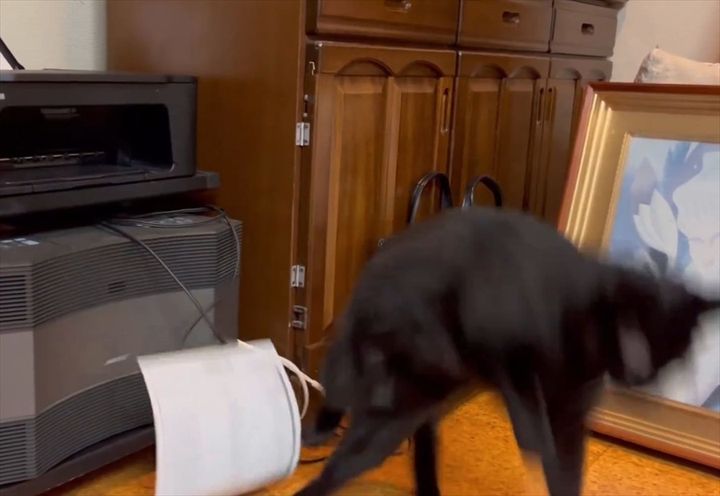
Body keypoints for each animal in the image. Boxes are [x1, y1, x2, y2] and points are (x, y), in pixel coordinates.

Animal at [295, 207, 719, 496]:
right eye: (634, 335)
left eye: (672, 360)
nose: (640, 376)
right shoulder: (498, 334)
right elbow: (523, 393)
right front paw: (532, 436)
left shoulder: (570, 409)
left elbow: (567, 468)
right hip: (404, 386)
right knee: (339, 417)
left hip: (410, 393)